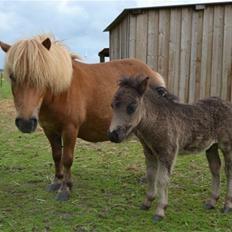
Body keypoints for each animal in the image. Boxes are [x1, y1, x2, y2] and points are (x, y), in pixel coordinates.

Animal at [0, 34, 165, 201]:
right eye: (12, 76)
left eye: (42, 76)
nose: (25, 123)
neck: (62, 91)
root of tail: (152, 73)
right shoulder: (49, 129)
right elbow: (56, 156)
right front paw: (56, 182)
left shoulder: (70, 129)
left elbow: (67, 159)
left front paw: (65, 188)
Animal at [108, 76, 232, 223]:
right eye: (112, 105)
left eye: (132, 107)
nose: (113, 135)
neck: (157, 121)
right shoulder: (149, 153)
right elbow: (151, 175)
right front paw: (147, 203)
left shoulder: (168, 153)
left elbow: (162, 180)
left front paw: (160, 211)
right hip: (211, 147)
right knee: (215, 168)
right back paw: (211, 202)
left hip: (227, 146)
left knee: (229, 172)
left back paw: (227, 205)